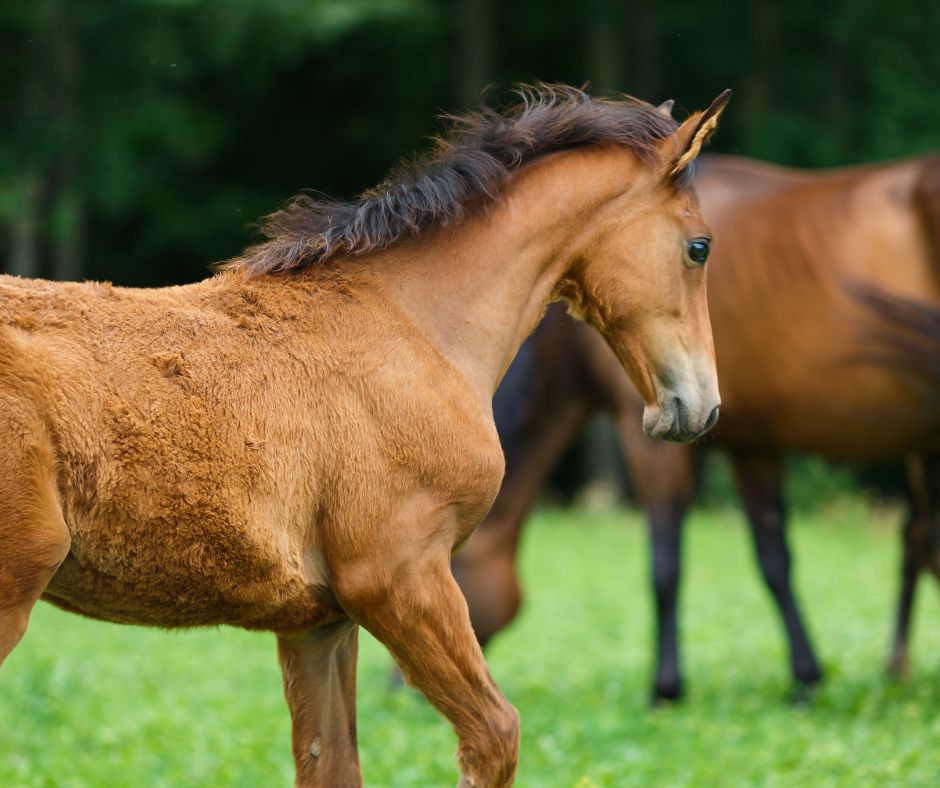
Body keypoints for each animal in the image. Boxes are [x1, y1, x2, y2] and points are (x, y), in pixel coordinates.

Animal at [0, 85, 728, 786]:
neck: (413, 325)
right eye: (700, 246)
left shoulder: (318, 621)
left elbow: (333, 765)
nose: (698, 407)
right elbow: (495, 737)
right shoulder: (399, 577)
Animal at [452, 150, 940, 703]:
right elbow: (775, 561)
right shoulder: (752, 444)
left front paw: (665, 688)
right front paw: (805, 678)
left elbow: (665, 566)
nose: (404, 687)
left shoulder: (648, 435)